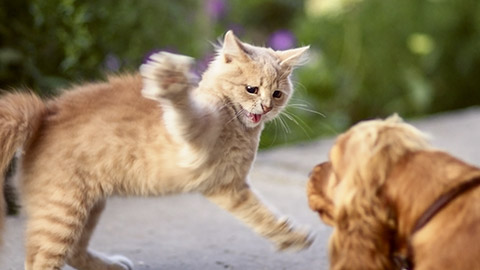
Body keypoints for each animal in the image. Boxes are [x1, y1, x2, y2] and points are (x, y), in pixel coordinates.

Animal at [0, 30, 312, 268]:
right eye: (251, 89)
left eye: (277, 94)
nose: (266, 107)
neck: (239, 130)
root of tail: (43, 113)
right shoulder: (194, 135)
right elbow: (184, 111)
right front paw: (169, 80)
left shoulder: (228, 187)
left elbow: (260, 214)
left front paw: (291, 236)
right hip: (63, 210)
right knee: (40, 260)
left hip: (88, 207)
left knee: (73, 252)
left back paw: (112, 265)